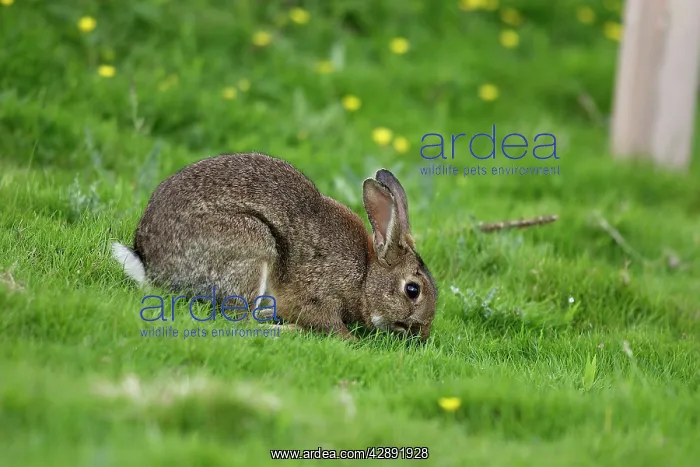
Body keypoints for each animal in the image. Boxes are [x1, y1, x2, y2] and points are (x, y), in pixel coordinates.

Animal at [111, 152, 438, 341]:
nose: (423, 332)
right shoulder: (319, 296)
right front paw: (351, 340)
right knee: (240, 321)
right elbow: (330, 323)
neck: (366, 275)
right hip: (253, 247)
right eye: (413, 290)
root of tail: (152, 266)